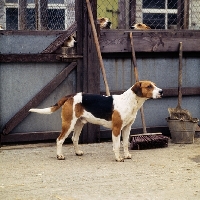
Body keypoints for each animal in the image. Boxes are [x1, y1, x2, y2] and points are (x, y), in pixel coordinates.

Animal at [30, 80, 164, 162]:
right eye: (149, 86)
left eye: (155, 85)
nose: (161, 91)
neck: (129, 101)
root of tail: (70, 96)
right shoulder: (116, 129)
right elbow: (117, 145)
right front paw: (118, 158)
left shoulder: (127, 128)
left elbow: (125, 144)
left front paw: (126, 155)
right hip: (69, 124)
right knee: (59, 140)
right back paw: (59, 156)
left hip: (79, 123)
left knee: (74, 138)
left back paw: (78, 152)